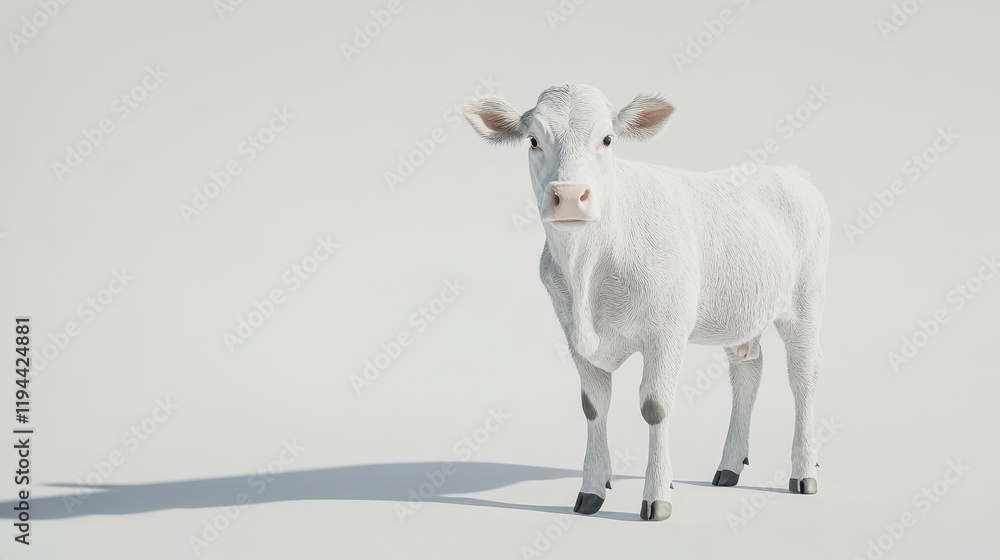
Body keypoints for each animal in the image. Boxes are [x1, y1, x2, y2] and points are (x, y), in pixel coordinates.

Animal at [464, 84, 829, 521]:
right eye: (533, 140)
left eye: (607, 140)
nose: (568, 196)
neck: (588, 271)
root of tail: (790, 172)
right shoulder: (572, 332)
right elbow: (593, 406)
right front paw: (591, 490)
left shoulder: (666, 332)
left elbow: (655, 406)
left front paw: (657, 495)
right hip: (740, 306)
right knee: (747, 372)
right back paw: (729, 466)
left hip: (805, 300)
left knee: (804, 379)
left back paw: (804, 473)